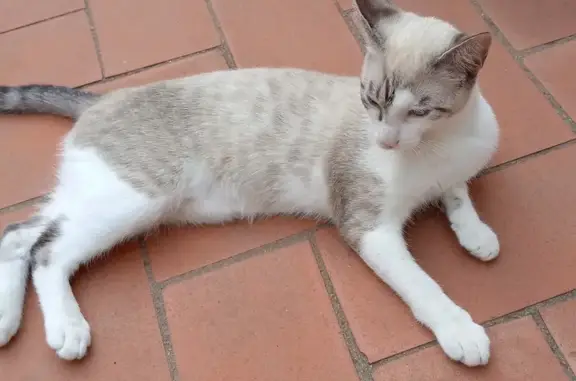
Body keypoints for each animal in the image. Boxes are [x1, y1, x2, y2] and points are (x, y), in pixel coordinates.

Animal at [0, 0, 498, 368]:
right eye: (370, 100)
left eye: (420, 111)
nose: (385, 141)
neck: (438, 145)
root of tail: (100, 99)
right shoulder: (369, 226)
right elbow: (423, 285)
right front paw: (459, 330)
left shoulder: (456, 168)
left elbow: (457, 192)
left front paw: (475, 234)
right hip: (135, 198)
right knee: (47, 250)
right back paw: (66, 329)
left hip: (97, 194)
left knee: (20, 233)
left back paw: (5, 320)